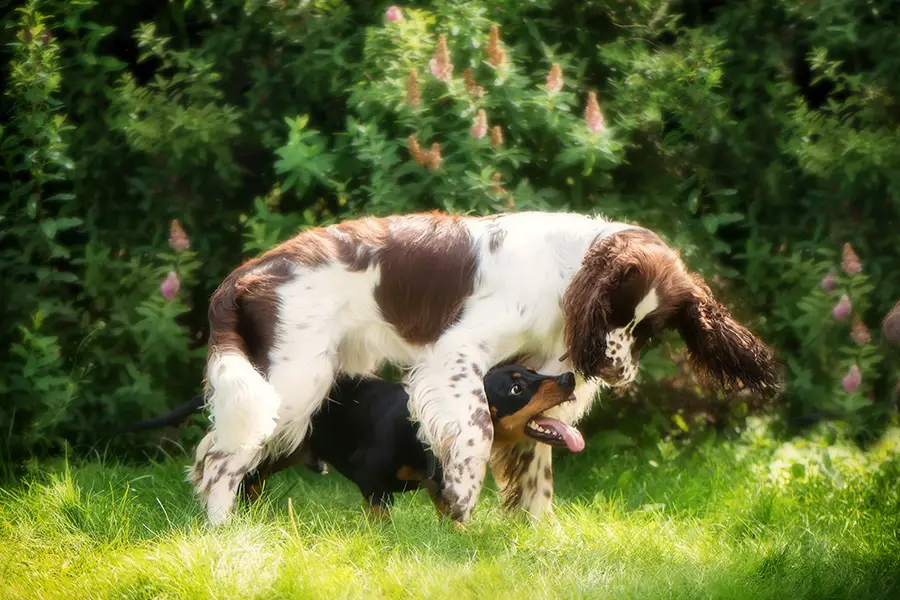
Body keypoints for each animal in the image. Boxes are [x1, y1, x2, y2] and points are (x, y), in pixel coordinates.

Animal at [125, 364, 576, 516]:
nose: (569, 376)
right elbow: (381, 516)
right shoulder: (372, 479)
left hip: (288, 449)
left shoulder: (439, 485)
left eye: (532, 371)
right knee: (230, 469)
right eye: (516, 388)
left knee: (252, 479)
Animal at [192, 210, 780, 524]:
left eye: (648, 332)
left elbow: (536, 465)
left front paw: (539, 534)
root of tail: (248, 273)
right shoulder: (457, 357)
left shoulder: (539, 379)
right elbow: (476, 432)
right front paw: (460, 498)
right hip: (292, 384)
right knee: (217, 460)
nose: (616, 373)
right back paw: (224, 532)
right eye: (613, 314)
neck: (567, 272)